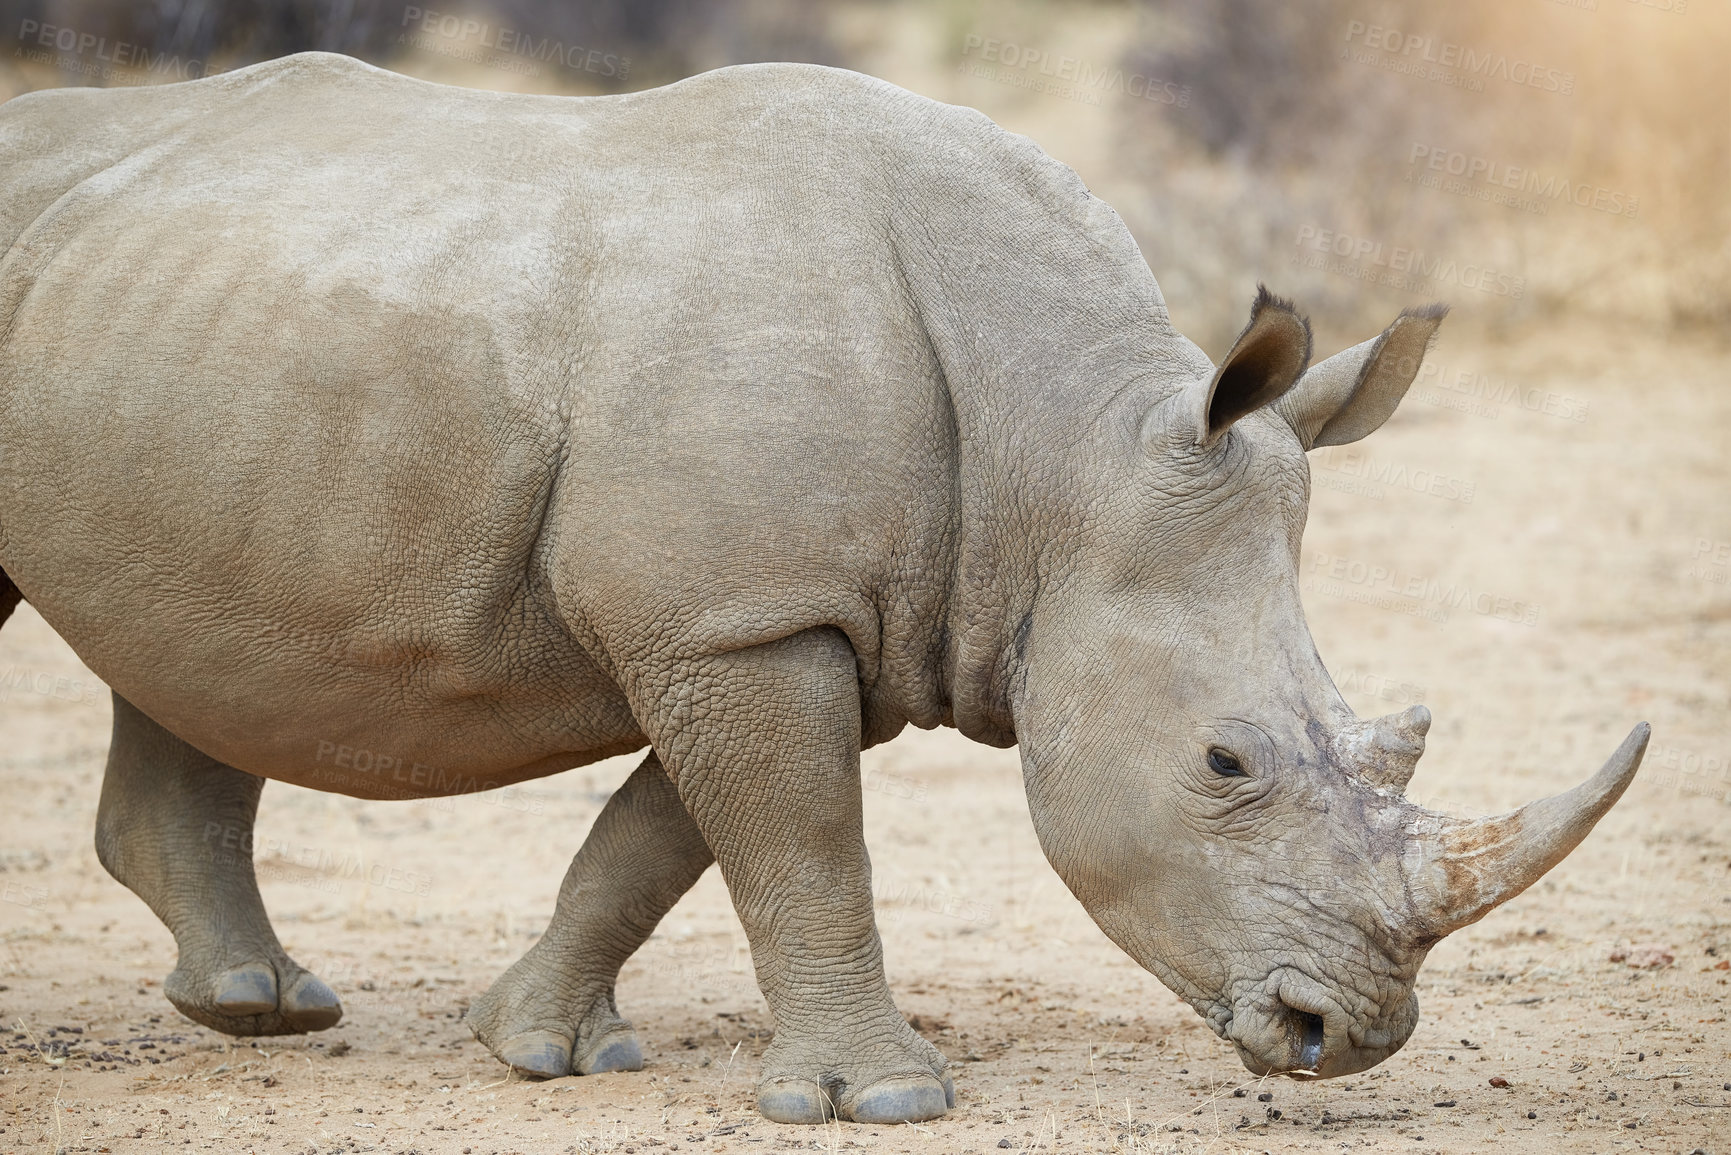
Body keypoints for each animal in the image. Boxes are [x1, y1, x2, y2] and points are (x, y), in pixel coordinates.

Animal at [0, 49, 1647, 1122]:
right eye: (1224, 761)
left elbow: (667, 838)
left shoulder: (792, 616)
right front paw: (883, 1098)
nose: (1346, 1035)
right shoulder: (737, 618)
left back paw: (254, 1007)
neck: (1063, 446)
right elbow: (797, 845)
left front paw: (537, 1048)